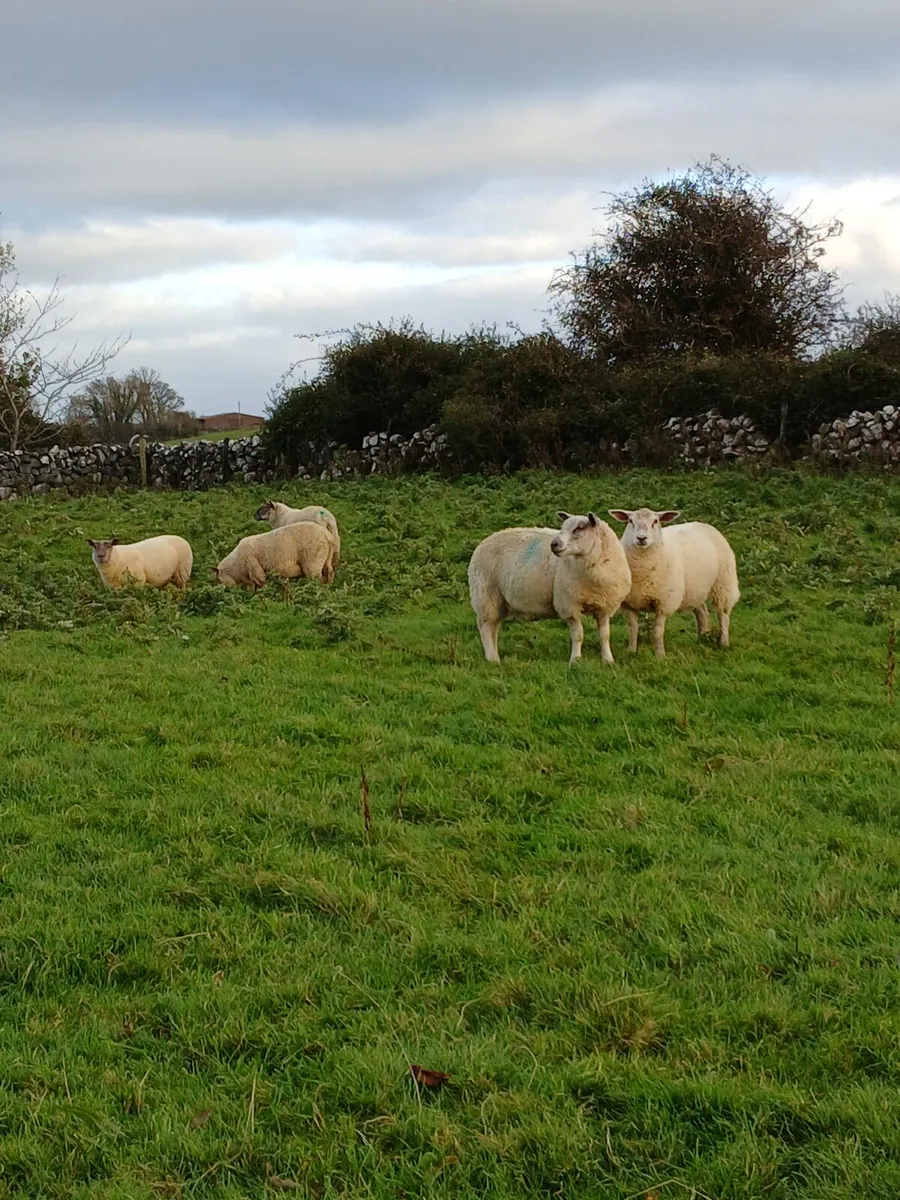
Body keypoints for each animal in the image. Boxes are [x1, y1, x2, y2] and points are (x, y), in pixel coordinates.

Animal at [468, 512, 632, 664]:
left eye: (580, 527)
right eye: (563, 527)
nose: (554, 544)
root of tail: (485, 541)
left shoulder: (605, 606)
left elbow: (605, 636)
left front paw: (608, 660)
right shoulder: (569, 606)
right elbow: (578, 635)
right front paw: (575, 660)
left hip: (498, 601)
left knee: (494, 627)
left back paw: (494, 655)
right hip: (485, 596)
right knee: (485, 627)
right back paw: (493, 659)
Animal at [608, 508, 740, 658]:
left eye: (655, 521)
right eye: (630, 521)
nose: (641, 538)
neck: (642, 569)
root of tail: (703, 524)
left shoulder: (664, 603)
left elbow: (657, 632)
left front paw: (660, 655)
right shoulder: (629, 604)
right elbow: (633, 629)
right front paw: (631, 651)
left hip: (723, 583)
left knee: (723, 615)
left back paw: (723, 643)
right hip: (694, 589)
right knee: (702, 612)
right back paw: (702, 638)